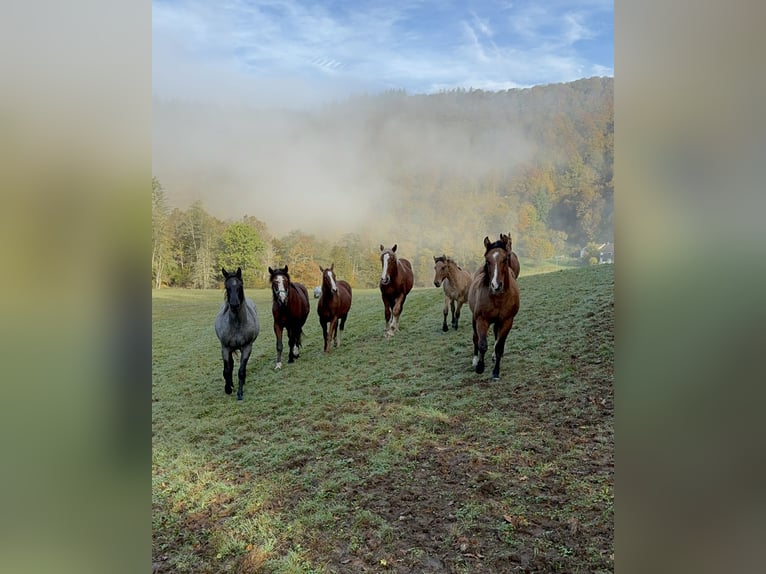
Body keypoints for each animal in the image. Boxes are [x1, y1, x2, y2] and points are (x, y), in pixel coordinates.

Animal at [214, 268, 262, 400]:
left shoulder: (247, 347)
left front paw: (240, 393)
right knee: (230, 366)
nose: (234, 304)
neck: (236, 325)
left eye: (240, 286)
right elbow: (227, 369)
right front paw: (228, 388)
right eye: (227, 286)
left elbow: (241, 370)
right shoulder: (225, 348)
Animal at [468, 234, 520, 382]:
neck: (498, 298)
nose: (496, 285)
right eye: (487, 260)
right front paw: (480, 367)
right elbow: (482, 344)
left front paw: (496, 372)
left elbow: (499, 347)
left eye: (505, 258)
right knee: (475, 337)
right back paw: (475, 360)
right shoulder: (481, 320)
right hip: (474, 318)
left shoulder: (507, 321)